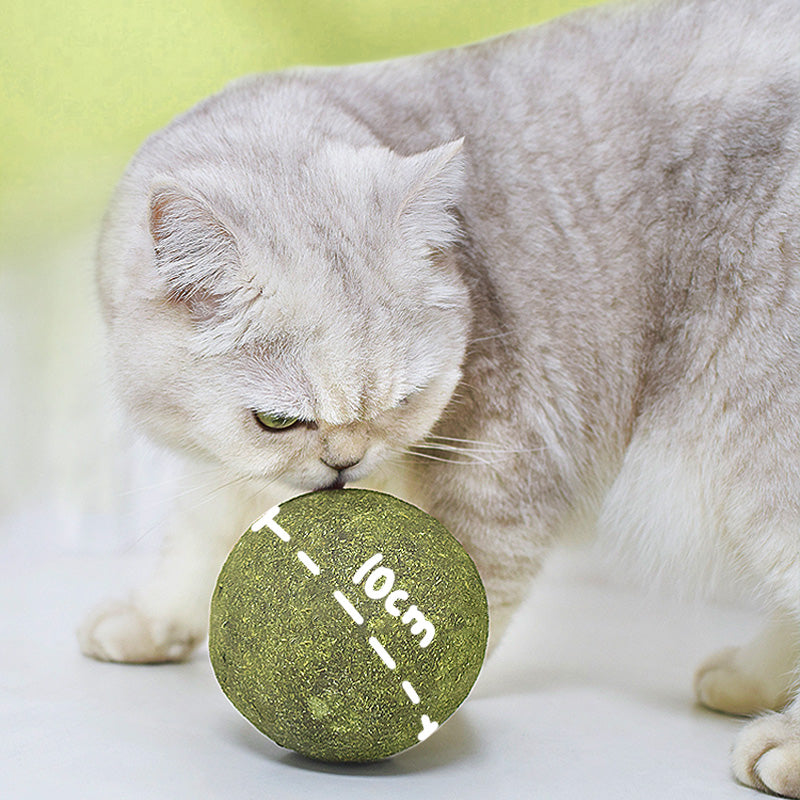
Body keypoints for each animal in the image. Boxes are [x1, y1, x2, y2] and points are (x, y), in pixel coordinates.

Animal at [79, 0, 800, 792]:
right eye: (277, 421)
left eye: (403, 402)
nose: (345, 462)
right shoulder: (225, 465)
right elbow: (199, 531)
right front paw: (151, 619)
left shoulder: (505, 458)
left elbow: (477, 583)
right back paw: (748, 681)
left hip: (755, 440)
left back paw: (781, 741)